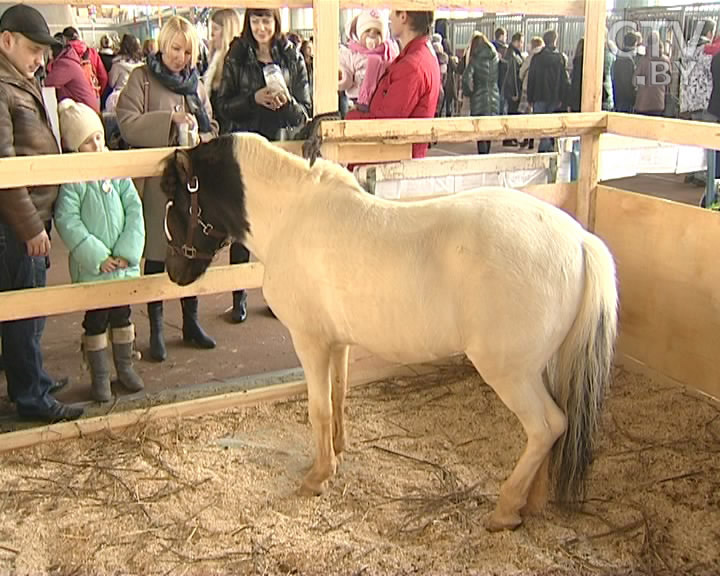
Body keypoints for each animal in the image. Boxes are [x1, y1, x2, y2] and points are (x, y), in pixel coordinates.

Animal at [160, 132, 616, 532]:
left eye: (177, 198)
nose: (174, 272)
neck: (291, 216)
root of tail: (579, 241)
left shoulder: (309, 341)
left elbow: (318, 407)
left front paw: (318, 477)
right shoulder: (336, 341)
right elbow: (338, 395)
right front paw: (337, 453)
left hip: (510, 372)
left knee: (547, 426)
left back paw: (505, 509)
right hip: (540, 367)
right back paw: (531, 502)